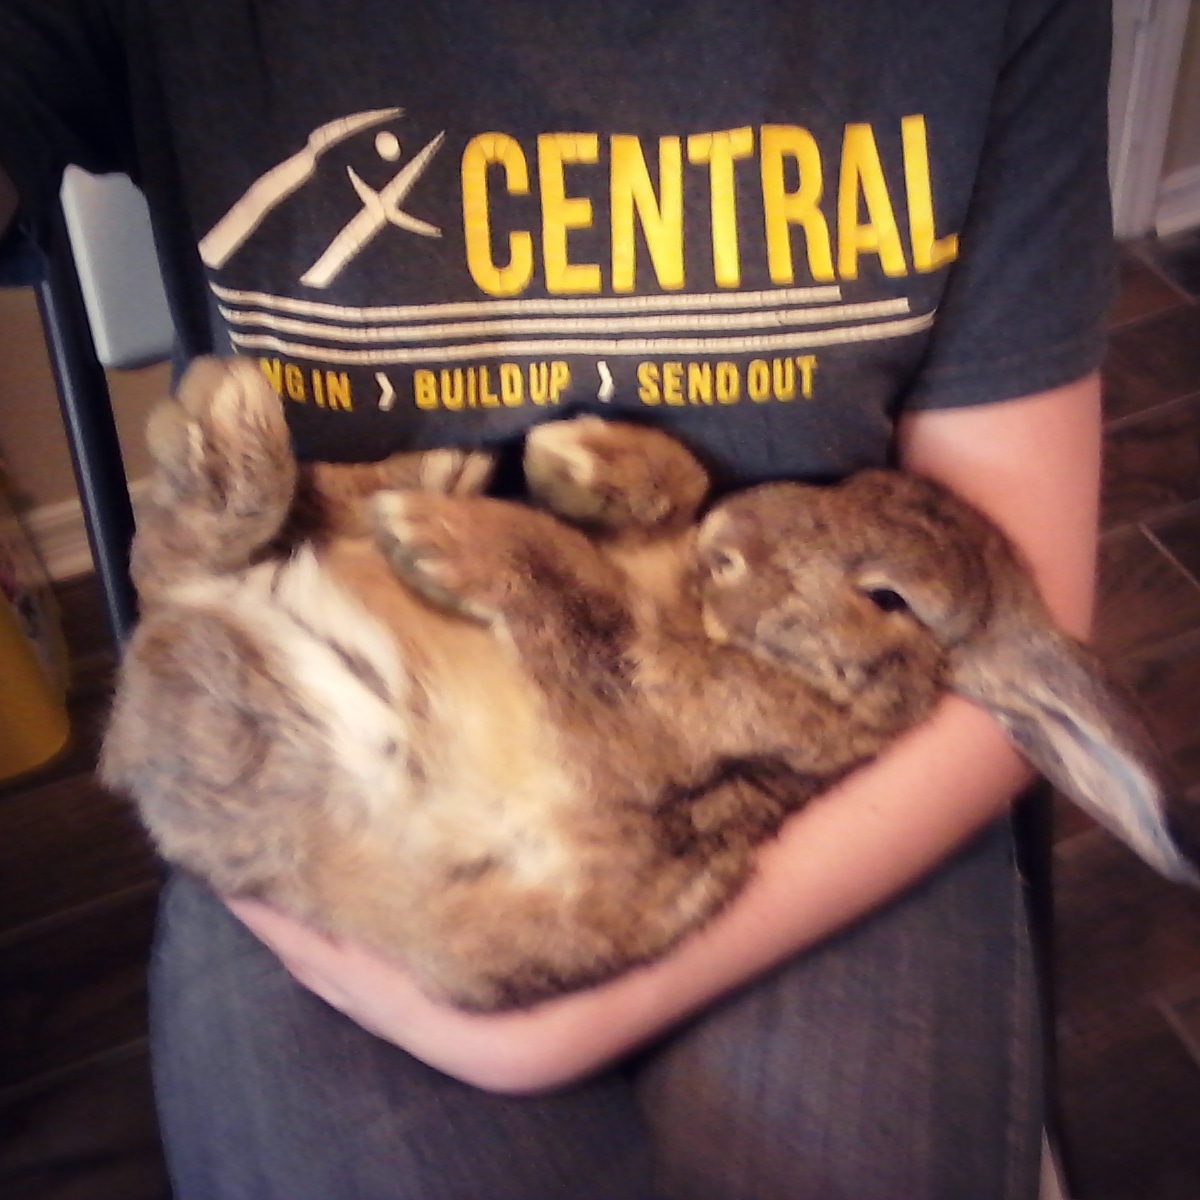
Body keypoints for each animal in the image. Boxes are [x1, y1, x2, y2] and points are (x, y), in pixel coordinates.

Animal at [101, 356, 1197, 1012]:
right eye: (851, 484)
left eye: (892, 598)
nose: (732, 543)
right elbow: (666, 491)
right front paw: (579, 454)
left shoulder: (632, 719)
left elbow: (574, 596)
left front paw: (448, 540)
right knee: (196, 551)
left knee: (174, 557)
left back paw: (263, 435)